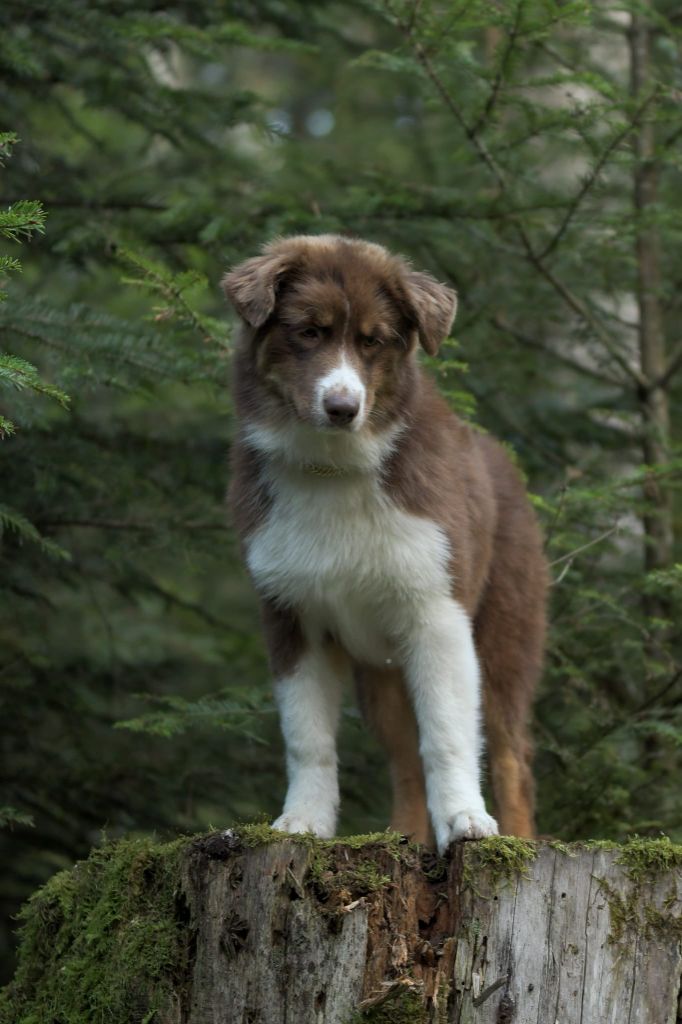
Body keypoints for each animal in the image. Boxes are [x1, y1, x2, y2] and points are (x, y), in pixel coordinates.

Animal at [223, 235, 548, 851]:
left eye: (373, 341)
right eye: (309, 332)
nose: (342, 408)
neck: (333, 471)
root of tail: (506, 463)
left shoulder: (437, 612)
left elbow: (447, 734)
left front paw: (466, 820)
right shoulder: (290, 614)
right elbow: (307, 736)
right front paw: (303, 821)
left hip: (504, 633)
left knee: (511, 755)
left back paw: (516, 840)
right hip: (380, 673)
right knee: (402, 759)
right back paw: (402, 838)